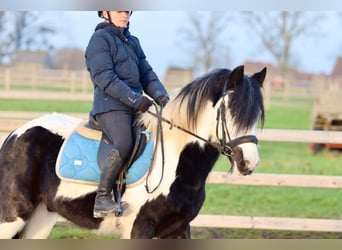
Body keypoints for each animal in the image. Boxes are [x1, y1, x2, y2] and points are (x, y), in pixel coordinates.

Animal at [0, 64, 266, 238]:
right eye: (231, 111)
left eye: (255, 115)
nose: (249, 163)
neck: (175, 163)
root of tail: (15, 134)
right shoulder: (140, 229)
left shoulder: (178, 229)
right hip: (11, 217)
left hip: (41, 219)